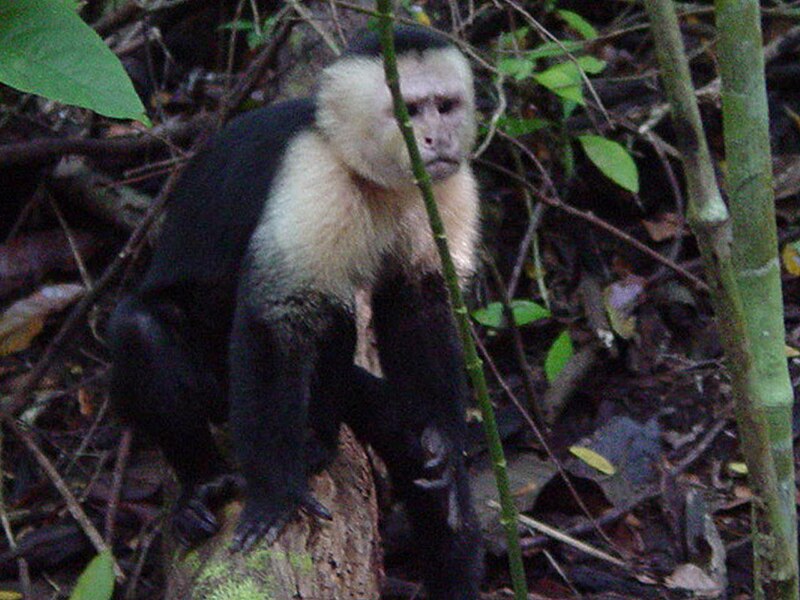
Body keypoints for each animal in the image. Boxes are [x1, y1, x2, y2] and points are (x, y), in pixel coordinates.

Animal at [110, 25, 484, 596]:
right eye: (409, 111)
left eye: (444, 107)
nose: (437, 140)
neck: (370, 173)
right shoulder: (313, 173)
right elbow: (273, 315)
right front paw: (274, 493)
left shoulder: (445, 188)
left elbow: (418, 303)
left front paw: (442, 435)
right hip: (218, 384)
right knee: (141, 328)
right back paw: (202, 483)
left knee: (335, 315)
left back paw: (318, 440)